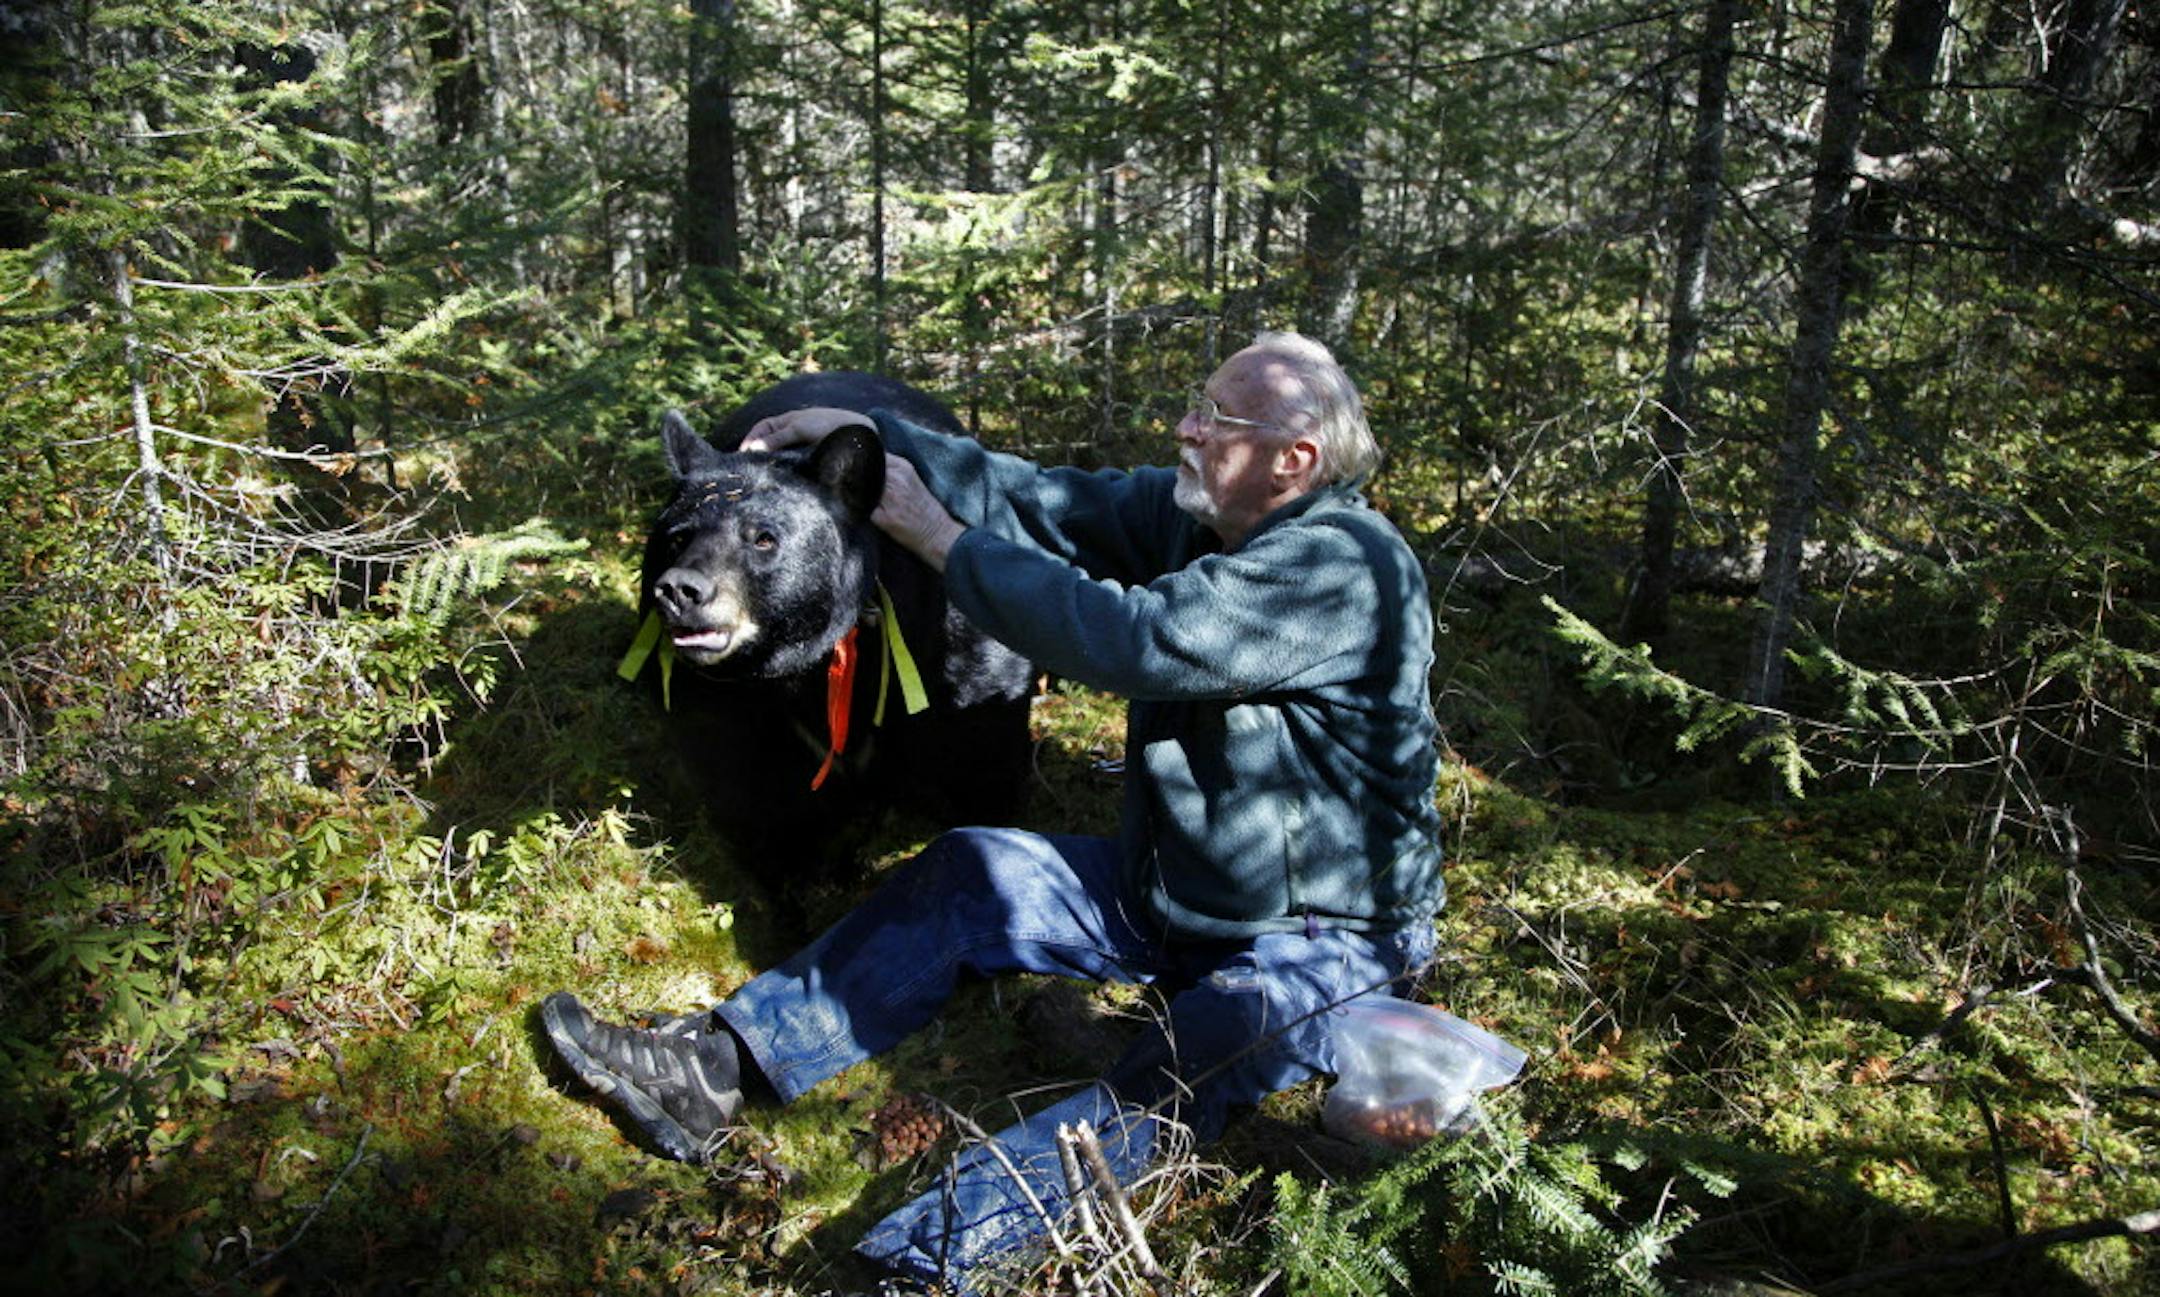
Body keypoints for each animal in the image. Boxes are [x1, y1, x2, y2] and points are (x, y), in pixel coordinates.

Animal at [629, 372, 1036, 876]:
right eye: (678, 537)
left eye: (764, 538)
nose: (679, 590)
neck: (811, 664)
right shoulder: (731, 715)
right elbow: (757, 808)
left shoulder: (960, 671)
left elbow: (983, 769)